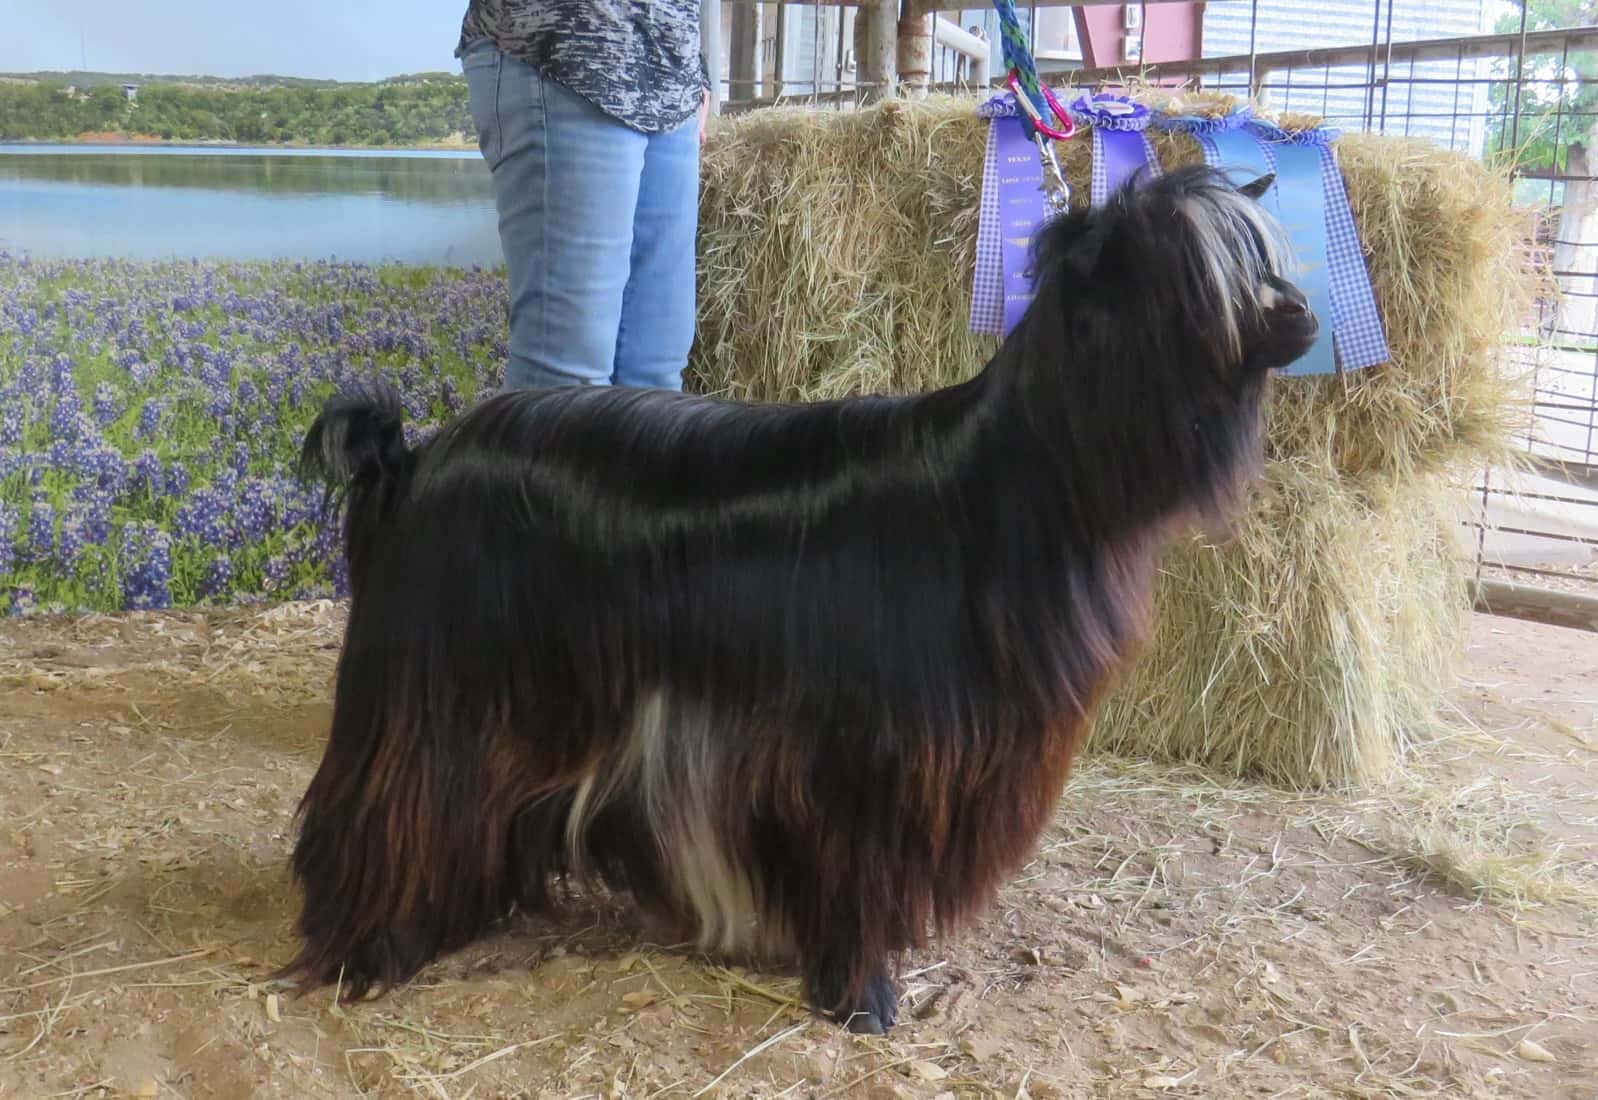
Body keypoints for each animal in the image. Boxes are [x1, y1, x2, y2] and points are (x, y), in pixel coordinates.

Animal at [281, 163, 1316, 1029]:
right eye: (1194, 282)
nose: (1303, 321)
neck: (1002, 484)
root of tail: (410, 460)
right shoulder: (872, 751)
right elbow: (857, 866)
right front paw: (863, 996)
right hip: (439, 692)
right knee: (389, 802)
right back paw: (369, 947)